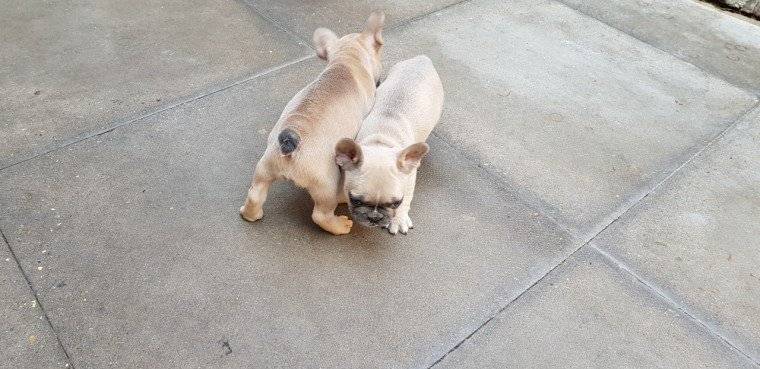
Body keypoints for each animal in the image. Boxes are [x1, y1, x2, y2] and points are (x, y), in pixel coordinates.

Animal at [240, 13, 386, 236]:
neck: (346, 60)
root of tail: (291, 144)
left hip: (264, 168)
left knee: (255, 194)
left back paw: (250, 213)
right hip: (327, 184)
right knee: (320, 215)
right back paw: (340, 225)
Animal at [336, 55, 442, 233]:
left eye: (396, 203)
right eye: (356, 200)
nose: (374, 217)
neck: (382, 141)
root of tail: (422, 59)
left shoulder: (409, 178)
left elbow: (408, 196)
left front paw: (399, 219)